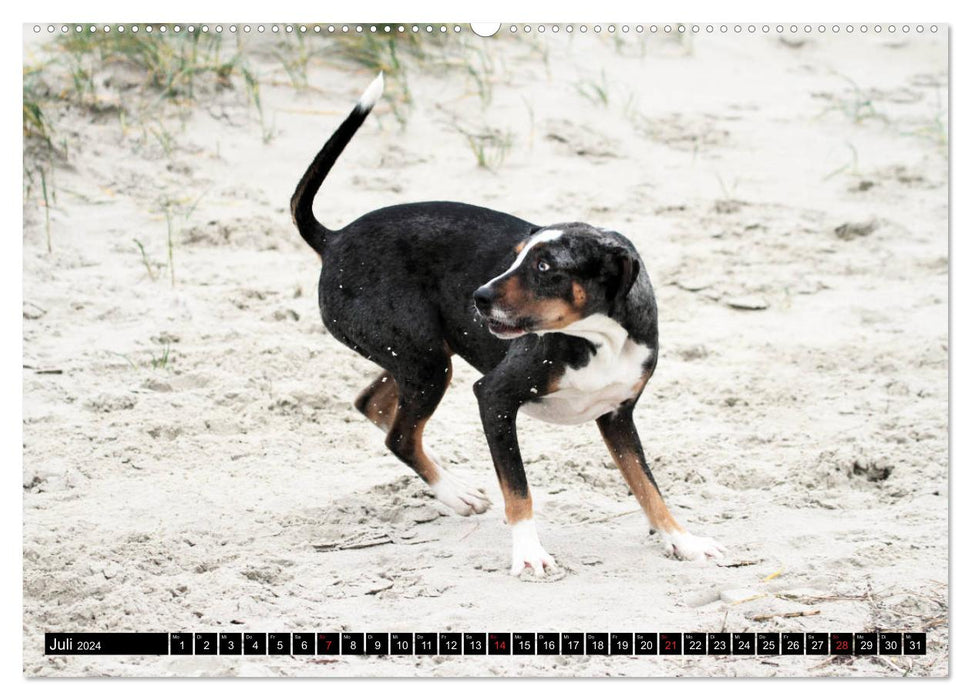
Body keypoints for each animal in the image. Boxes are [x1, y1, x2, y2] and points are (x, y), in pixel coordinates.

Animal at [292, 72, 724, 576]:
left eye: (545, 266)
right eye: (516, 257)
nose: (477, 298)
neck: (598, 341)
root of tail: (334, 238)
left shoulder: (617, 417)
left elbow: (647, 486)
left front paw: (683, 540)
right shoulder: (494, 399)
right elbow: (518, 489)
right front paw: (529, 552)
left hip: (421, 355)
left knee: (376, 408)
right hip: (426, 363)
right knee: (400, 435)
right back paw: (456, 493)